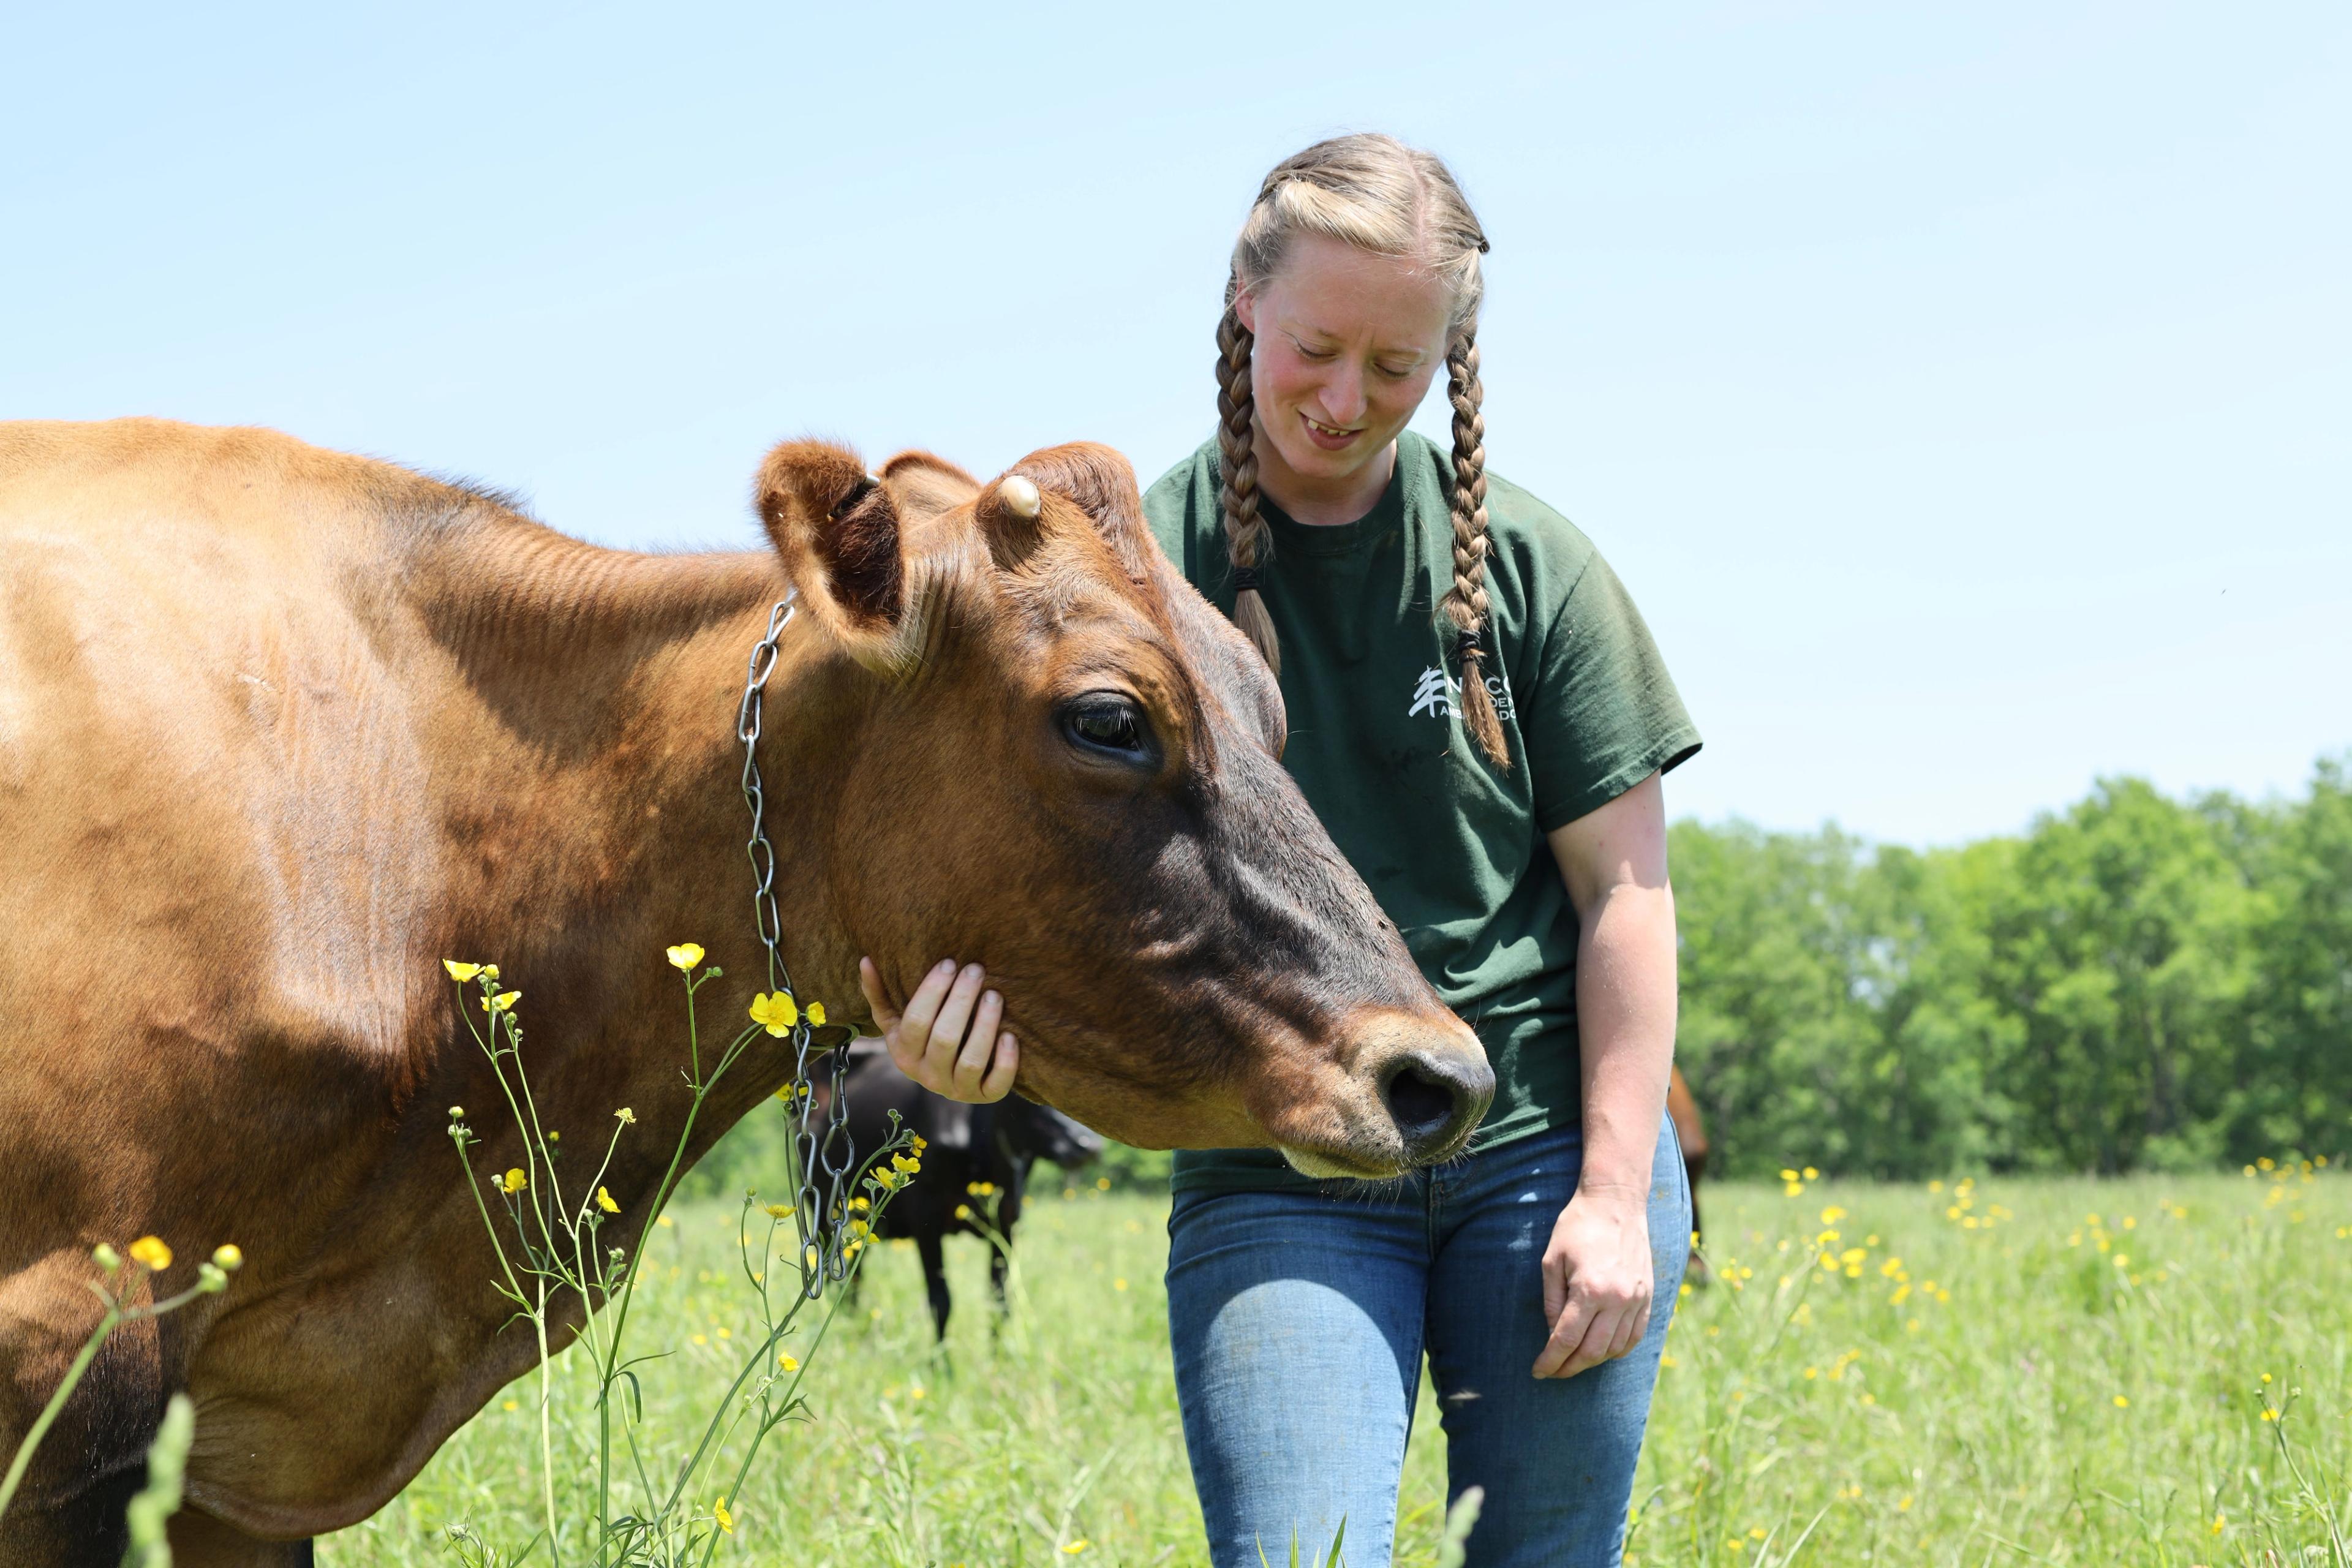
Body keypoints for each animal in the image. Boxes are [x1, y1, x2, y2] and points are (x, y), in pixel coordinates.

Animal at [827, 1045, 1103, 1338]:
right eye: (1033, 1096)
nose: (1087, 1145)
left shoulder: (1007, 1224)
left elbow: (999, 1303)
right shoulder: (926, 1220)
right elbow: (941, 1301)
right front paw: (940, 1354)